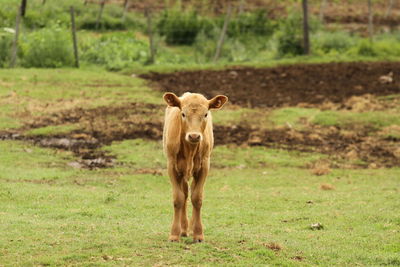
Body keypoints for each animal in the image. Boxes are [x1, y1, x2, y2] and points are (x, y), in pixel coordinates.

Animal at [162, 92, 228, 243]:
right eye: (183, 114)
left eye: (205, 114)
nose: (194, 136)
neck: (190, 150)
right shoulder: (172, 166)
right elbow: (178, 199)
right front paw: (174, 234)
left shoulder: (204, 166)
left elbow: (197, 198)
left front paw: (198, 234)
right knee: (185, 194)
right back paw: (183, 228)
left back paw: (190, 228)